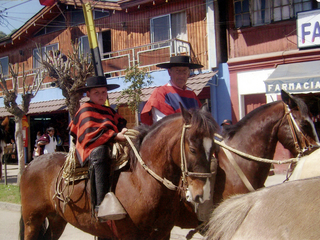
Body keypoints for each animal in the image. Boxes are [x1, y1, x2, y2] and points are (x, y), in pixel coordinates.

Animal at [18, 104, 219, 239]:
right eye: (192, 149)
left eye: (214, 148)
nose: (202, 194)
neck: (141, 182)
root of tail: (31, 165)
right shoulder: (128, 235)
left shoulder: (162, 234)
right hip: (32, 220)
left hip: (57, 219)